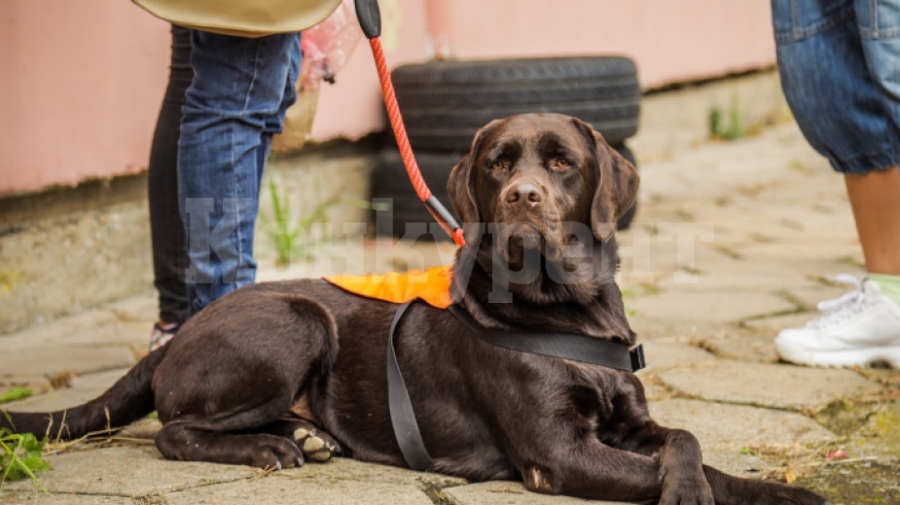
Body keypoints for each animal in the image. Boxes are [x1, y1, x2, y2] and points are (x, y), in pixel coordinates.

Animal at [3, 114, 828, 504]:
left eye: (563, 162)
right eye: (500, 162)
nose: (523, 196)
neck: (566, 313)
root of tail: (176, 336)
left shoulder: (631, 418)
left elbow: (688, 440)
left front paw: (780, 488)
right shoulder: (557, 453)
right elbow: (678, 471)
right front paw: (688, 489)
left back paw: (304, 437)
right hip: (296, 321)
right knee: (174, 431)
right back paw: (269, 448)